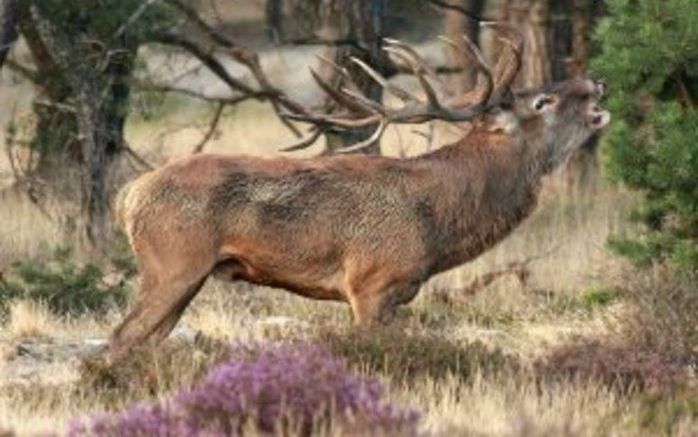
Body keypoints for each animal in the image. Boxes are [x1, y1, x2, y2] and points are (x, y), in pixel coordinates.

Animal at [106, 25, 608, 362]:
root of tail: (128, 195)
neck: (437, 225)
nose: (596, 83)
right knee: (119, 337)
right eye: (543, 101)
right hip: (172, 263)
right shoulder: (372, 282)